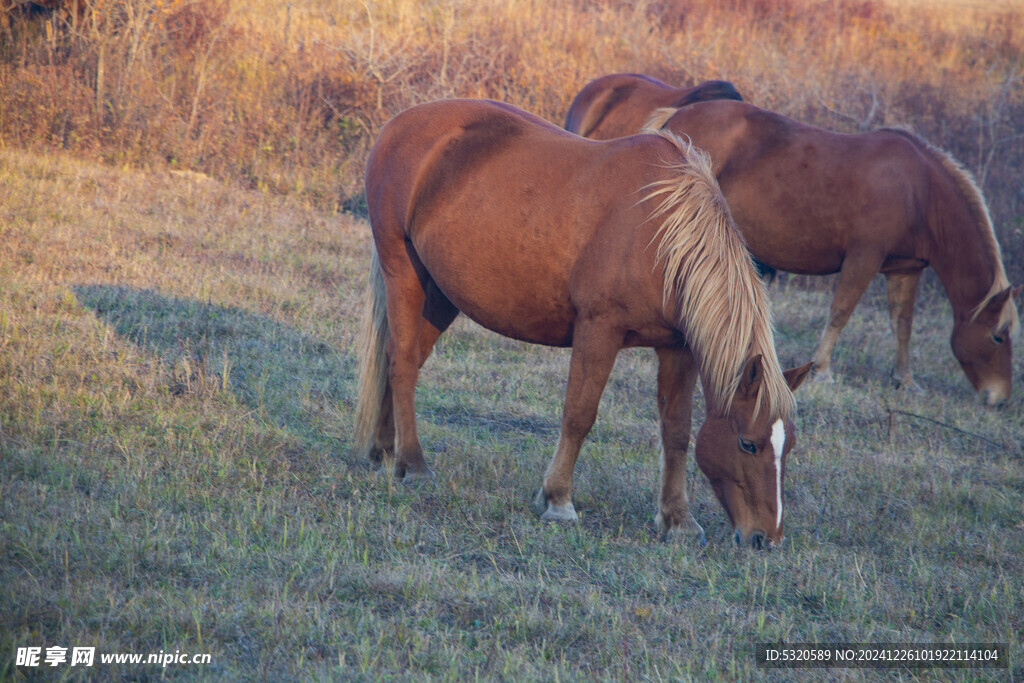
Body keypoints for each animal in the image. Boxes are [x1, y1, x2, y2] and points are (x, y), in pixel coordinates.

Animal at [356, 96, 811, 548]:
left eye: (787, 448)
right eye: (748, 444)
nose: (766, 538)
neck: (665, 231)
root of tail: (400, 124)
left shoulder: (677, 348)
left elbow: (677, 431)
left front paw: (677, 518)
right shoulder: (599, 331)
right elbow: (579, 415)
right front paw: (558, 499)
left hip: (440, 294)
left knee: (403, 360)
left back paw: (383, 451)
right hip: (404, 273)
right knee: (402, 364)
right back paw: (412, 463)